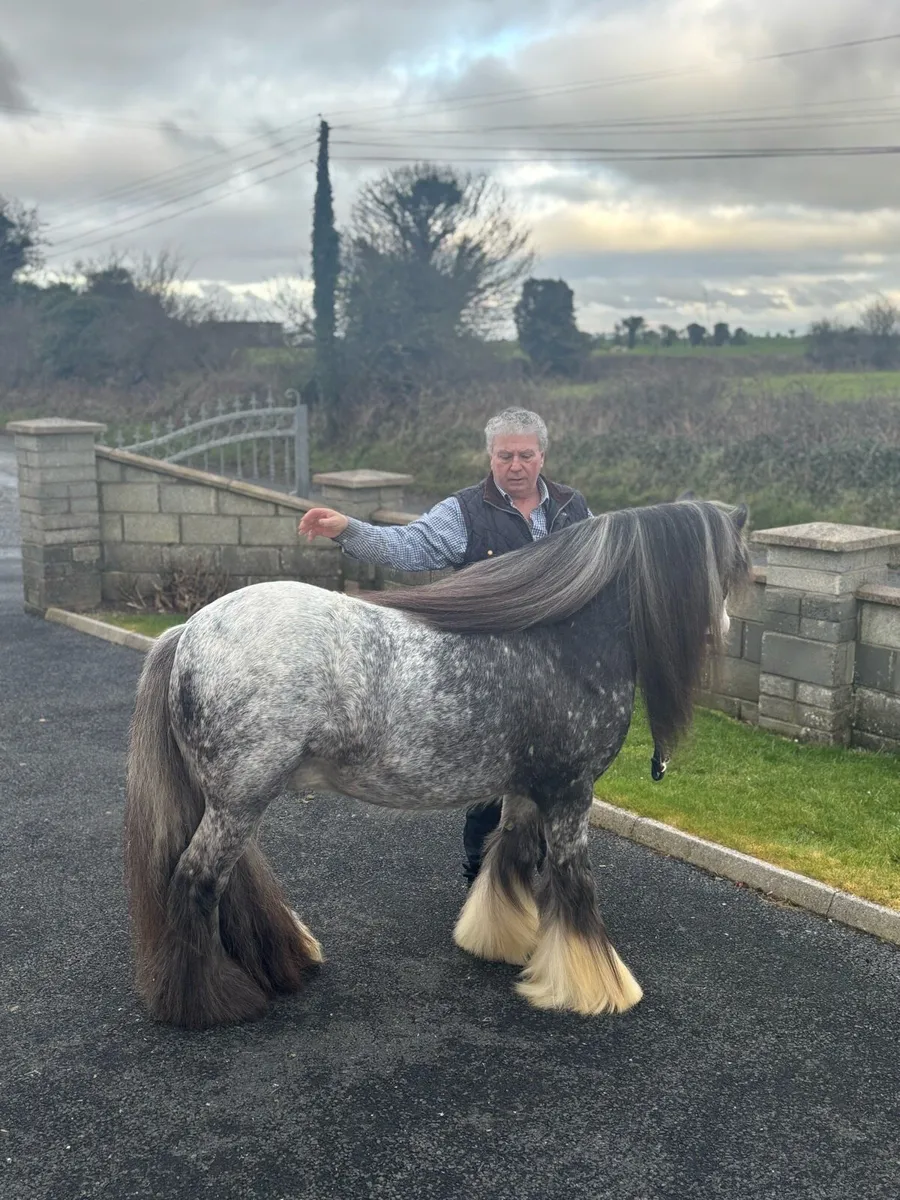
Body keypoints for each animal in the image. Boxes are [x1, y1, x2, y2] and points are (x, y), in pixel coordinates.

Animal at [123, 497, 750, 1029]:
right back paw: (210, 1001)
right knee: (197, 881)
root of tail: (188, 631)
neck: (560, 642)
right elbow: (574, 883)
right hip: (239, 801)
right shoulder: (571, 793)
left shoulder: (527, 790)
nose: (723, 629)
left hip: (232, 801)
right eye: (734, 568)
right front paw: (598, 985)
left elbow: (509, 858)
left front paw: (503, 943)